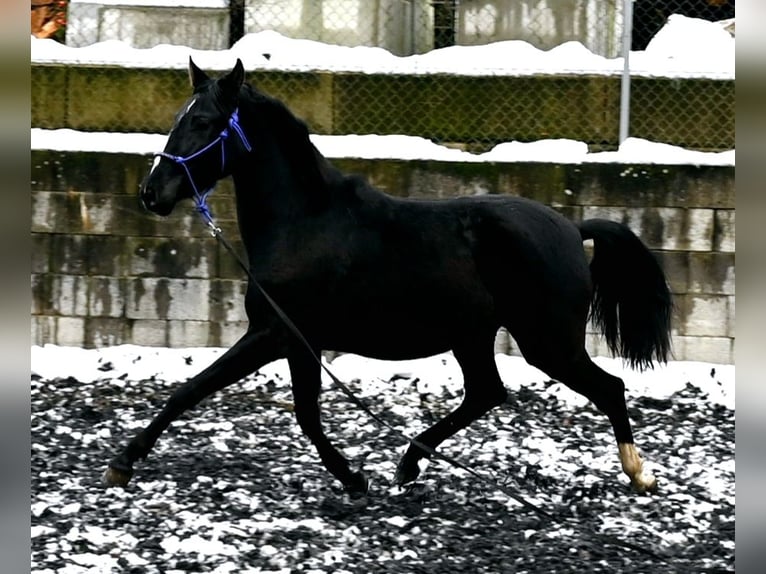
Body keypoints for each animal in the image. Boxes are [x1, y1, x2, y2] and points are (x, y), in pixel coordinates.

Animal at [103, 59, 672, 500]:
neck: (305, 221)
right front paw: (355, 479)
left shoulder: (276, 335)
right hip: (474, 336)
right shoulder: (295, 342)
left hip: (547, 341)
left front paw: (123, 462)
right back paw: (408, 464)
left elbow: (202, 393)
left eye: (202, 121)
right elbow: (291, 412)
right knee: (486, 393)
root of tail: (572, 229)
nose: (152, 192)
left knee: (608, 387)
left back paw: (639, 475)